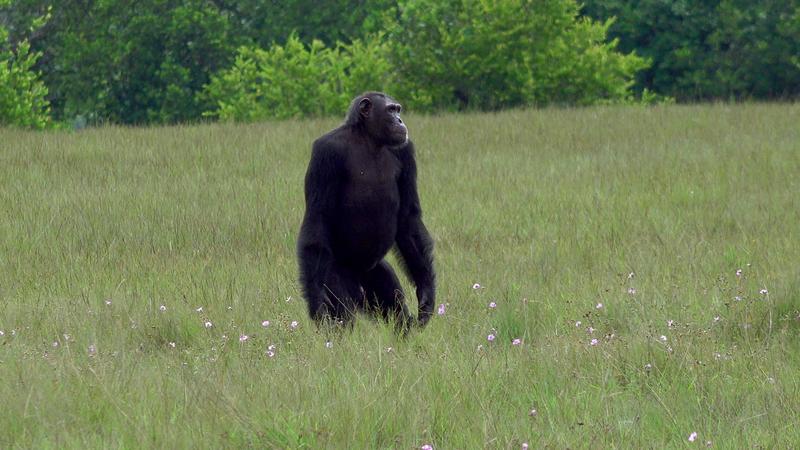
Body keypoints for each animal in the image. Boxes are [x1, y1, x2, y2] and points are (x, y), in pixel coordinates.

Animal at [296, 92, 434, 330]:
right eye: (390, 110)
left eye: (398, 109)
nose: (400, 121)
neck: (370, 140)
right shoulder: (325, 153)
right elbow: (318, 218)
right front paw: (317, 302)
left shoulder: (406, 152)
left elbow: (408, 220)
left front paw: (426, 291)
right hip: (333, 272)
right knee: (343, 317)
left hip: (376, 275)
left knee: (396, 312)